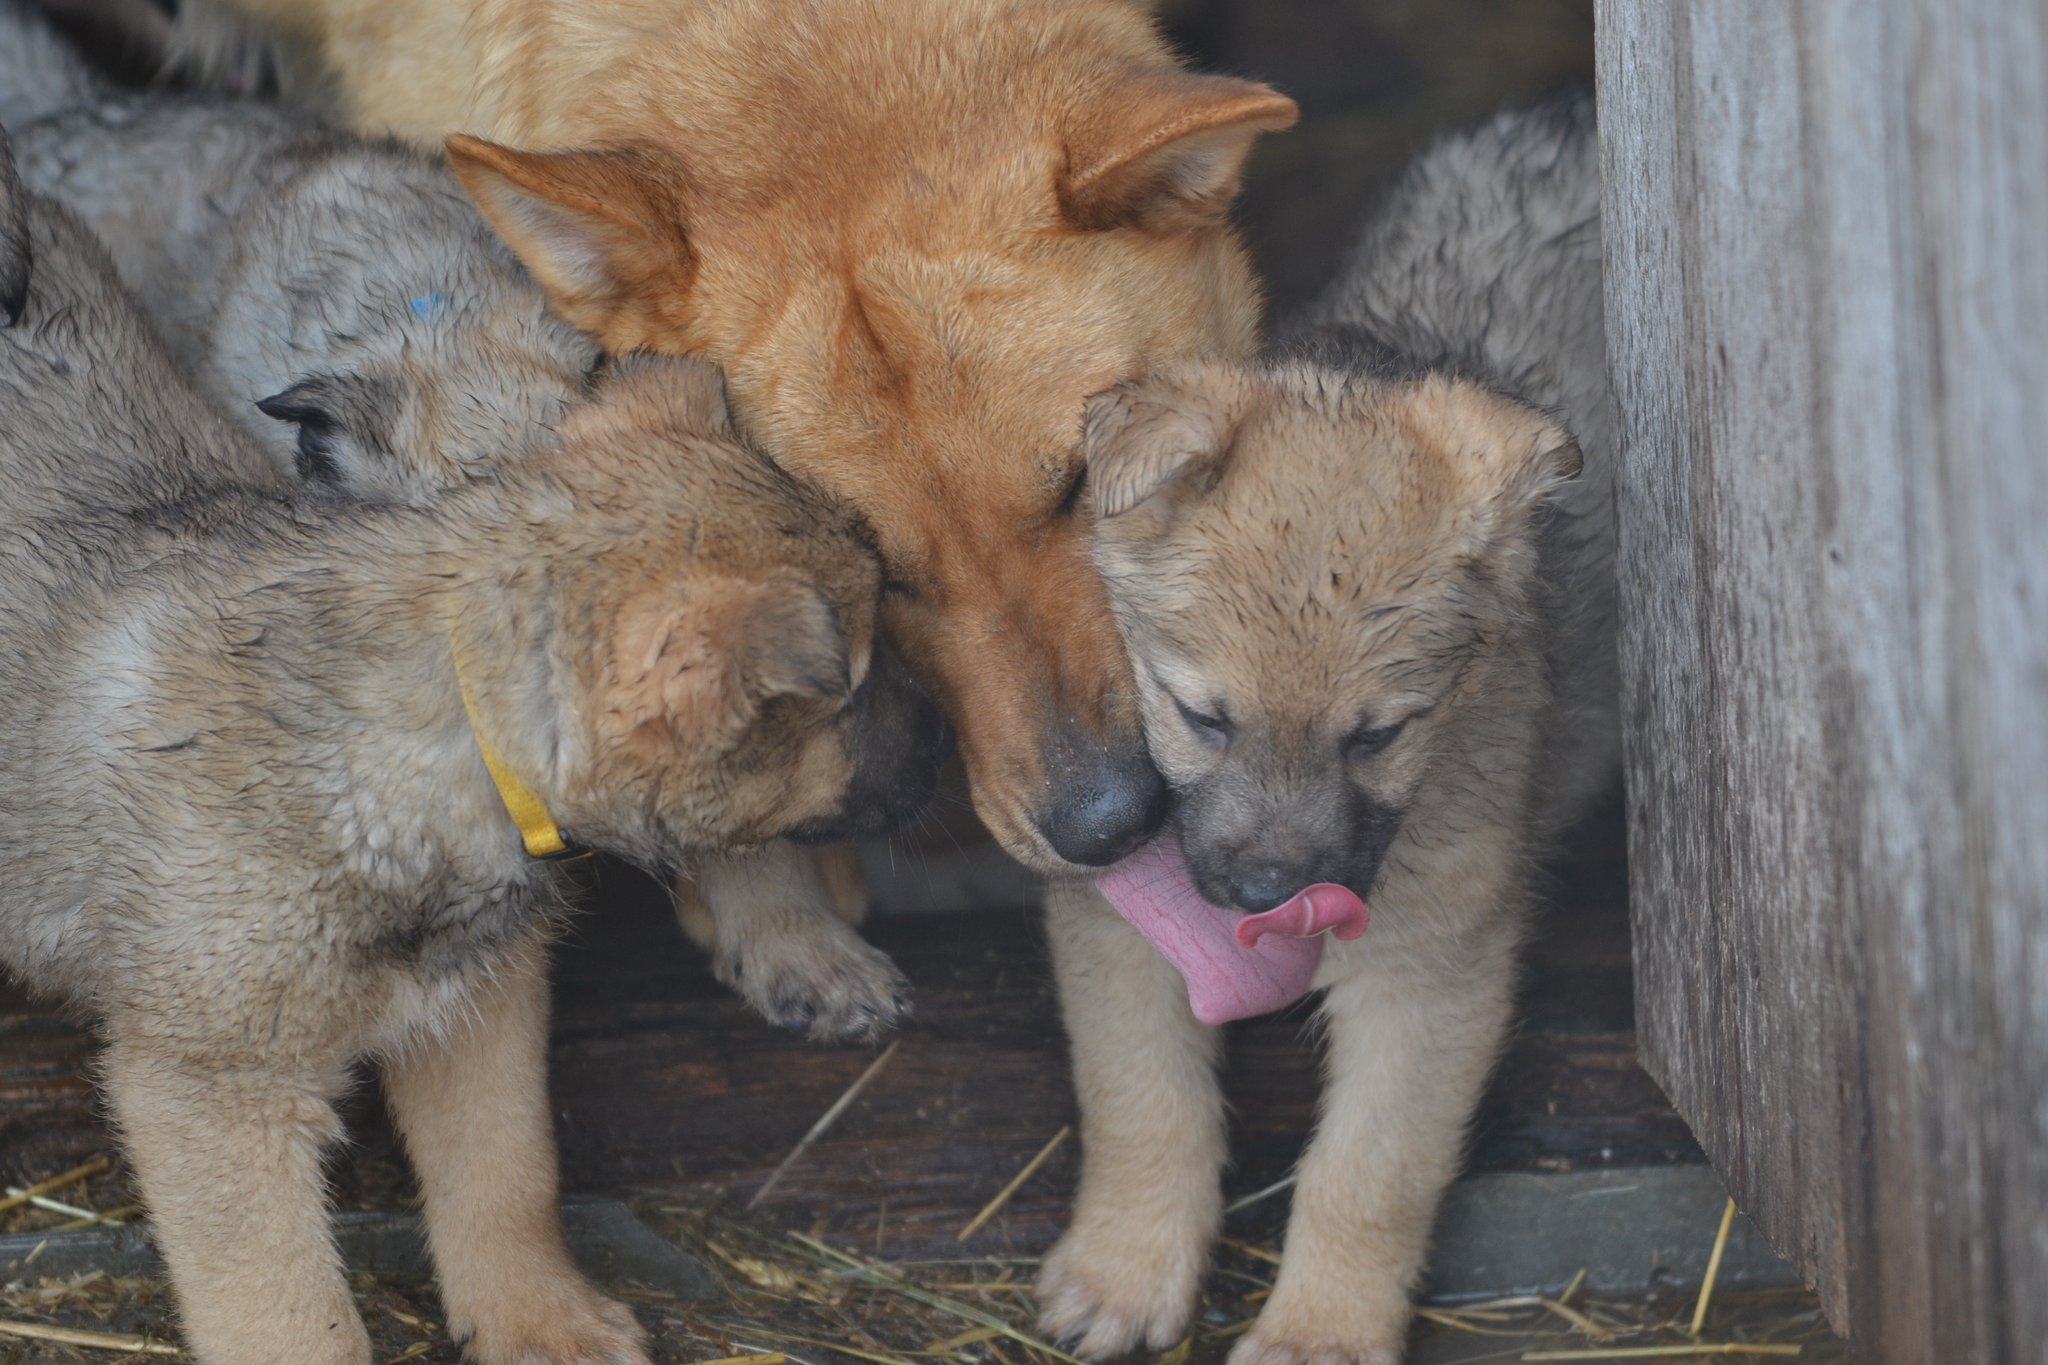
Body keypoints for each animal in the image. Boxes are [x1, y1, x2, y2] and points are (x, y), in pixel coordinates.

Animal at [0, 139, 942, 1365]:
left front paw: (545, 1321)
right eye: (861, 682)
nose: (949, 744)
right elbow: (294, 1314)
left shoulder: (478, 1007)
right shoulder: (215, 1091)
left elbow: (508, 1174)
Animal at [1040, 98, 1613, 1365]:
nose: (1269, 895)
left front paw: (1318, 1332)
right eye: (1200, 717)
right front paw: (1124, 1265)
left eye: (1380, 736)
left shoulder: (1428, 965)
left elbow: (1366, 1173)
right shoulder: (1113, 917)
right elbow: (1138, 1099)